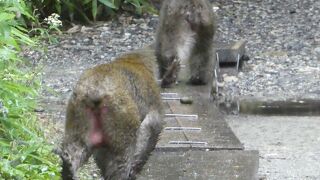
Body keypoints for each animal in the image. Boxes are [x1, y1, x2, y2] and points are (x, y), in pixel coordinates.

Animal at [55, 49, 164, 180]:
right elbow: (150, 133)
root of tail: (96, 90)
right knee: (122, 156)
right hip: (121, 115)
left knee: (77, 145)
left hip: (78, 110)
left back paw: (68, 167)